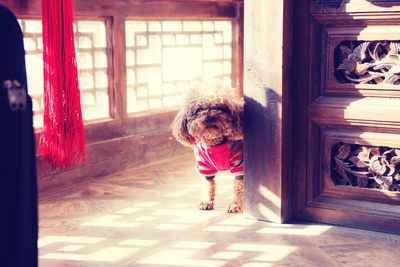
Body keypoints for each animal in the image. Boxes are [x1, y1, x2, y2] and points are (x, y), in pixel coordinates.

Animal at [170, 82, 244, 215]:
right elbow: (208, 185)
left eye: (221, 108)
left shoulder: (239, 164)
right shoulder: (204, 167)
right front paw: (206, 201)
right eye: (199, 109)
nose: (209, 117)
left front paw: (236, 204)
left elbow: (238, 187)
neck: (214, 144)